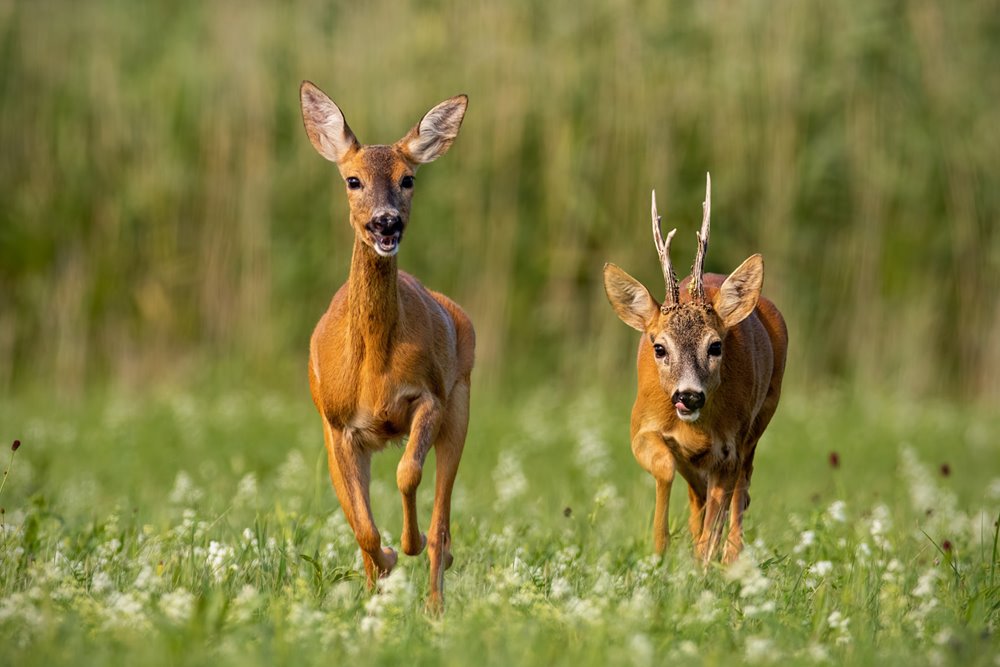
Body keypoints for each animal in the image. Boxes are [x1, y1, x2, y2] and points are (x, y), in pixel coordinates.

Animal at [298, 81, 474, 608]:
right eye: (352, 180)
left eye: (408, 179)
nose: (386, 223)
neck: (373, 365)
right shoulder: (338, 424)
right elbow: (364, 528)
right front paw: (389, 560)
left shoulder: (430, 397)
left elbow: (407, 474)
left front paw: (408, 545)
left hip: (461, 402)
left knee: (442, 520)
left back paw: (436, 600)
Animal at [600, 176, 788, 564]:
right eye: (659, 348)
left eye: (715, 346)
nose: (688, 395)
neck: (693, 430)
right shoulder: (640, 427)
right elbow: (665, 467)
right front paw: (660, 549)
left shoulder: (729, 447)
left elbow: (722, 504)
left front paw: (703, 561)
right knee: (699, 491)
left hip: (760, 419)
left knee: (742, 486)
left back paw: (730, 558)